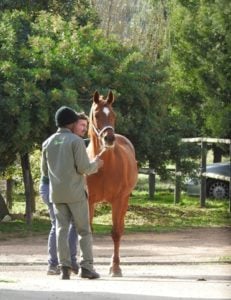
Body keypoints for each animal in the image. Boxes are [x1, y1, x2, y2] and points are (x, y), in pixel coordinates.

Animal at [86, 89, 137, 276]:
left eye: (113, 114)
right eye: (96, 115)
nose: (109, 138)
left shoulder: (118, 200)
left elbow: (115, 233)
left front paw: (115, 268)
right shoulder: (88, 201)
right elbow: (88, 232)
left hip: (124, 201)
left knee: (120, 230)